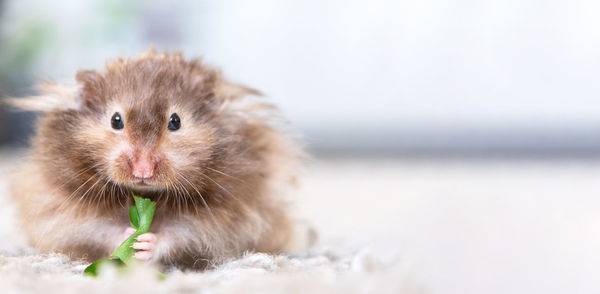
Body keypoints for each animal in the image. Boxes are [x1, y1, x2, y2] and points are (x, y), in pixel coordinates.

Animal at [5, 50, 300, 272]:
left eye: (175, 121)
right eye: (116, 120)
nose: (143, 170)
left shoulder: (226, 220)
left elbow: (181, 234)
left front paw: (144, 243)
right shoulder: (61, 210)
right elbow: (99, 228)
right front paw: (128, 236)